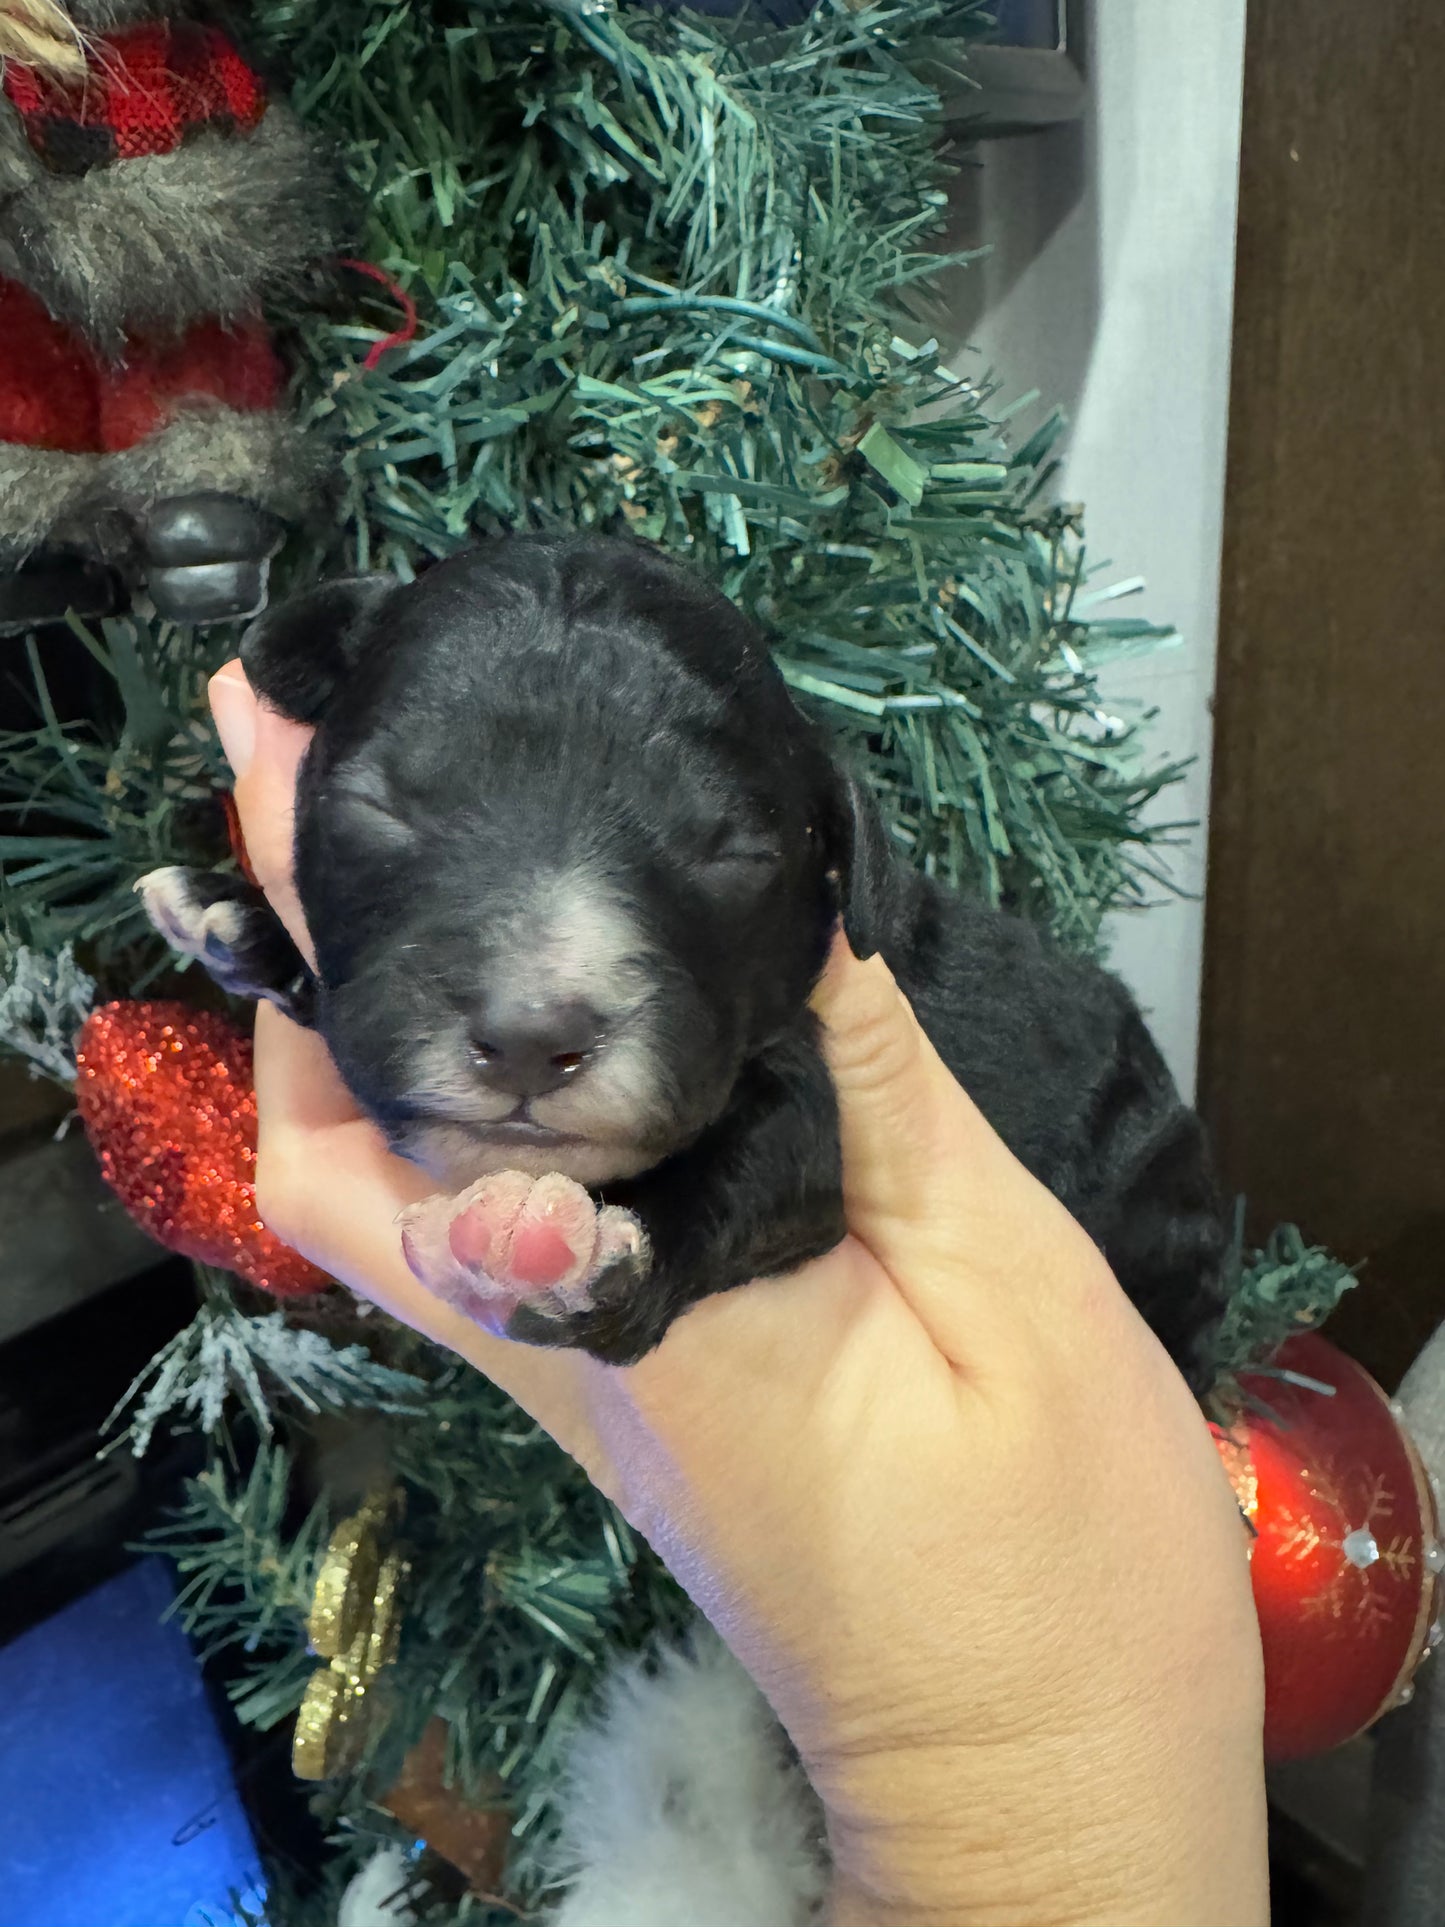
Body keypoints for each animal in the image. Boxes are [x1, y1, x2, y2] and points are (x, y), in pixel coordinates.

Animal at [141, 535, 1233, 1387]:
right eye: (382, 803)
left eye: (732, 854)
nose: (532, 1038)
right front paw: (240, 916)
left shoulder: (813, 1086)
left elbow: (769, 1152)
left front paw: (590, 1254)